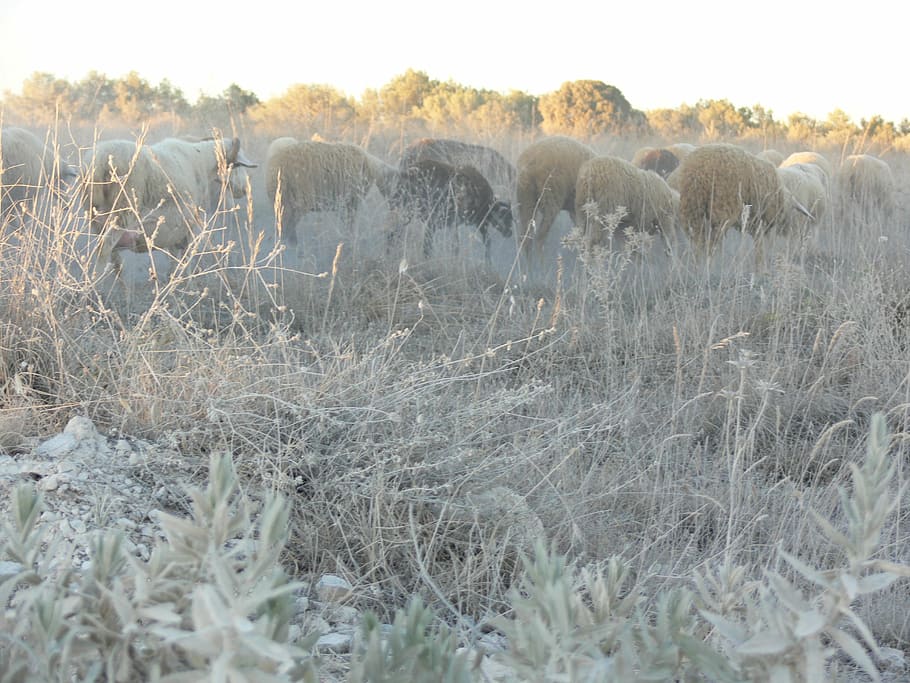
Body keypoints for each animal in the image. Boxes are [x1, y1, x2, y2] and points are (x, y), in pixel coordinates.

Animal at [82, 134, 257, 271]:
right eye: (237, 166)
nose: (244, 189)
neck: (202, 162)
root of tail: (100, 161)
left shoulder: (175, 229)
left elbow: (174, 258)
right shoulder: (189, 226)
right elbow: (185, 259)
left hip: (97, 219)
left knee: (114, 259)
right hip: (121, 213)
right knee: (104, 250)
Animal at [264, 138, 398, 250]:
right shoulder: (350, 202)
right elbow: (350, 226)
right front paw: (350, 244)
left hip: (282, 201)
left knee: (286, 228)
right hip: (296, 202)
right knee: (287, 229)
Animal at [515, 135, 596, 273]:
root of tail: (531, 162)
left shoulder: (575, 212)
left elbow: (582, 236)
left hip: (526, 200)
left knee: (525, 238)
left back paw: (528, 271)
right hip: (551, 200)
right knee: (540, 238)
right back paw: (542, 270)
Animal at [676, 143, 814, 264]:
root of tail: (699, 172)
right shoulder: (760, 223)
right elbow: (759, 249)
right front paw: (761, 269)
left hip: (691, 211)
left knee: (698, 241)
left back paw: (698, 265)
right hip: (721, 212)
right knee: (712, 242)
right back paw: (713, 264)